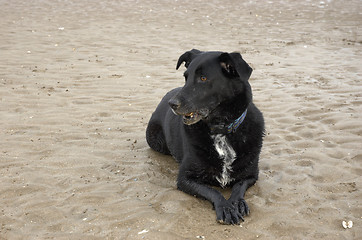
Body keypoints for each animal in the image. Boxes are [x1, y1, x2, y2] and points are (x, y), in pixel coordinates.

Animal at [146, 49, 264, 225]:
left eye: (203, 78)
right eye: (186, 77)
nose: (172, 104)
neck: (221, 130)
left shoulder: (251, 175)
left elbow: (238, 187)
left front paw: (237, 202)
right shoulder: (185, 179)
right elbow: (212, 191)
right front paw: (226, 207)